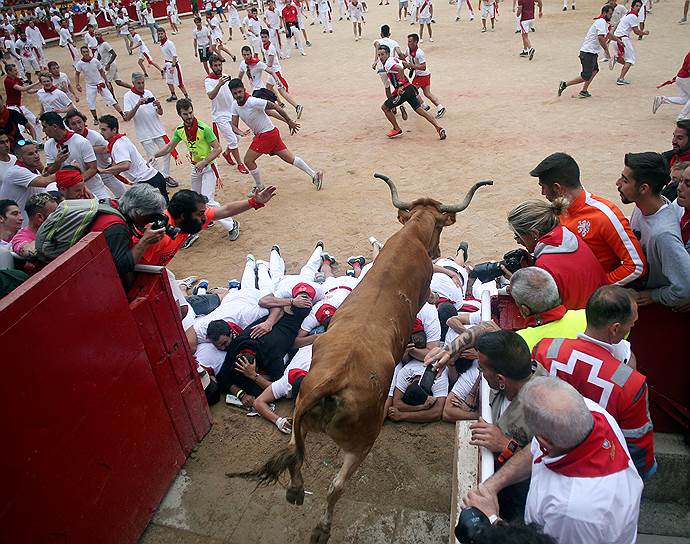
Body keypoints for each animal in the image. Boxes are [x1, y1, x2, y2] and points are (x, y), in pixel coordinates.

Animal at [228, 174, 492, 544]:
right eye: (440, 227)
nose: (439, 251)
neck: (410, 236)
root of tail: (330, 383)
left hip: (299, 423)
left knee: (295, 458)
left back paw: (295, 492)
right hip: (362, 442)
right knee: (335, 487)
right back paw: (321, 528)